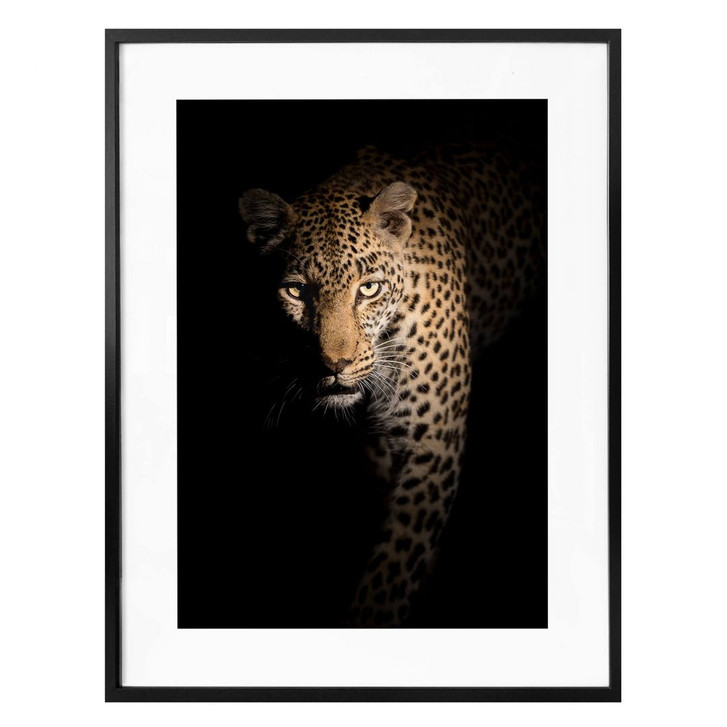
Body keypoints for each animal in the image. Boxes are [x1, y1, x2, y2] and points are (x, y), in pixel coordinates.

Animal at [239, 142, 545, 627]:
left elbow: (392, 569)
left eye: (369, 288)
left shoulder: (433, 443)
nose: (335, 364)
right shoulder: (377, 446)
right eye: (296, 292)